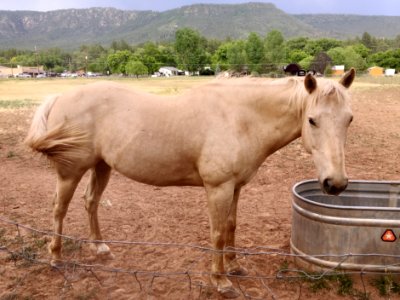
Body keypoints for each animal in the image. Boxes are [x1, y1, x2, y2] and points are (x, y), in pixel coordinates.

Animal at [26, 69, 354, 296]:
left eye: (349, 119)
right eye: (312, 120)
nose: (335, 184)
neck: (240, 118)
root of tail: (61, 97)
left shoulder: (235, 187)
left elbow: (232, 226)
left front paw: (234, 266)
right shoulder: (218, 188)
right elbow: (218, 233)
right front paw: (220, 281)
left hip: (102, 166)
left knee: (90, 202)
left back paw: (100, 248)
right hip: (71, 172)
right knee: (59, 208)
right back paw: (55, 257)